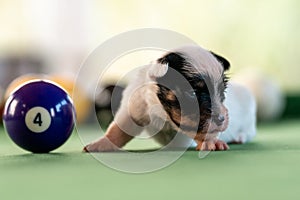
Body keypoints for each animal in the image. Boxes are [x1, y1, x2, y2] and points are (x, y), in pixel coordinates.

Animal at [84, 45, 255, 152]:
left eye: (222, 92)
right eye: (192, 93)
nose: (221, 119)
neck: (162, 113)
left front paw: (210, 141)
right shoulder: (134, 108)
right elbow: (117, 130)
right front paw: (100, 144)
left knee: (249, 132)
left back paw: (239, 137)